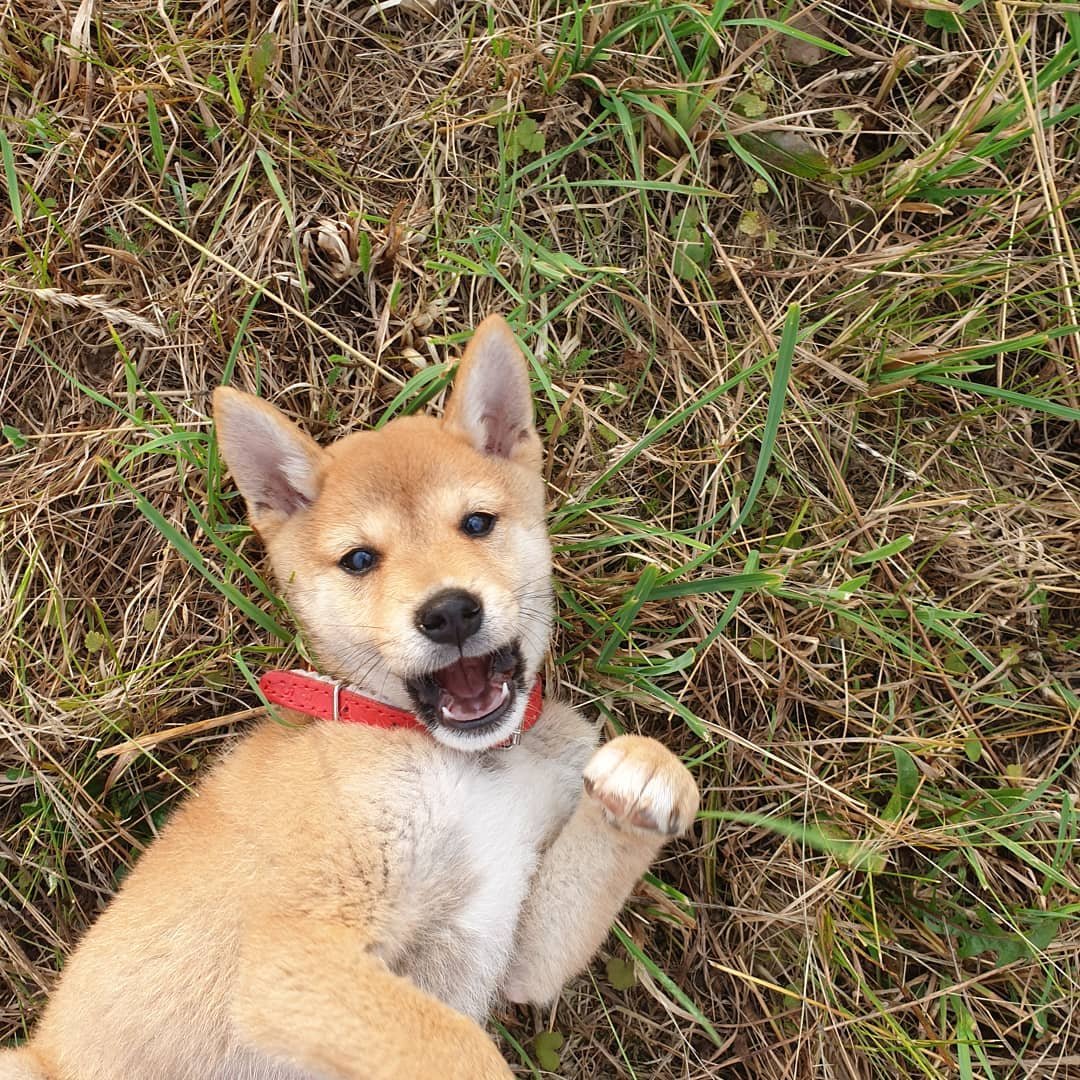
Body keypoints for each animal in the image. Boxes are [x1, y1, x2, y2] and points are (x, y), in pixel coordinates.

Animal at [2, 315, 699, 1080]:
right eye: (360, 560)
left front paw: (647, 777)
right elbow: (463, 1050)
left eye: (477, 523)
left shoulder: (512, 939)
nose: (449, 613)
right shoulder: (290, 956)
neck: (470, 762)